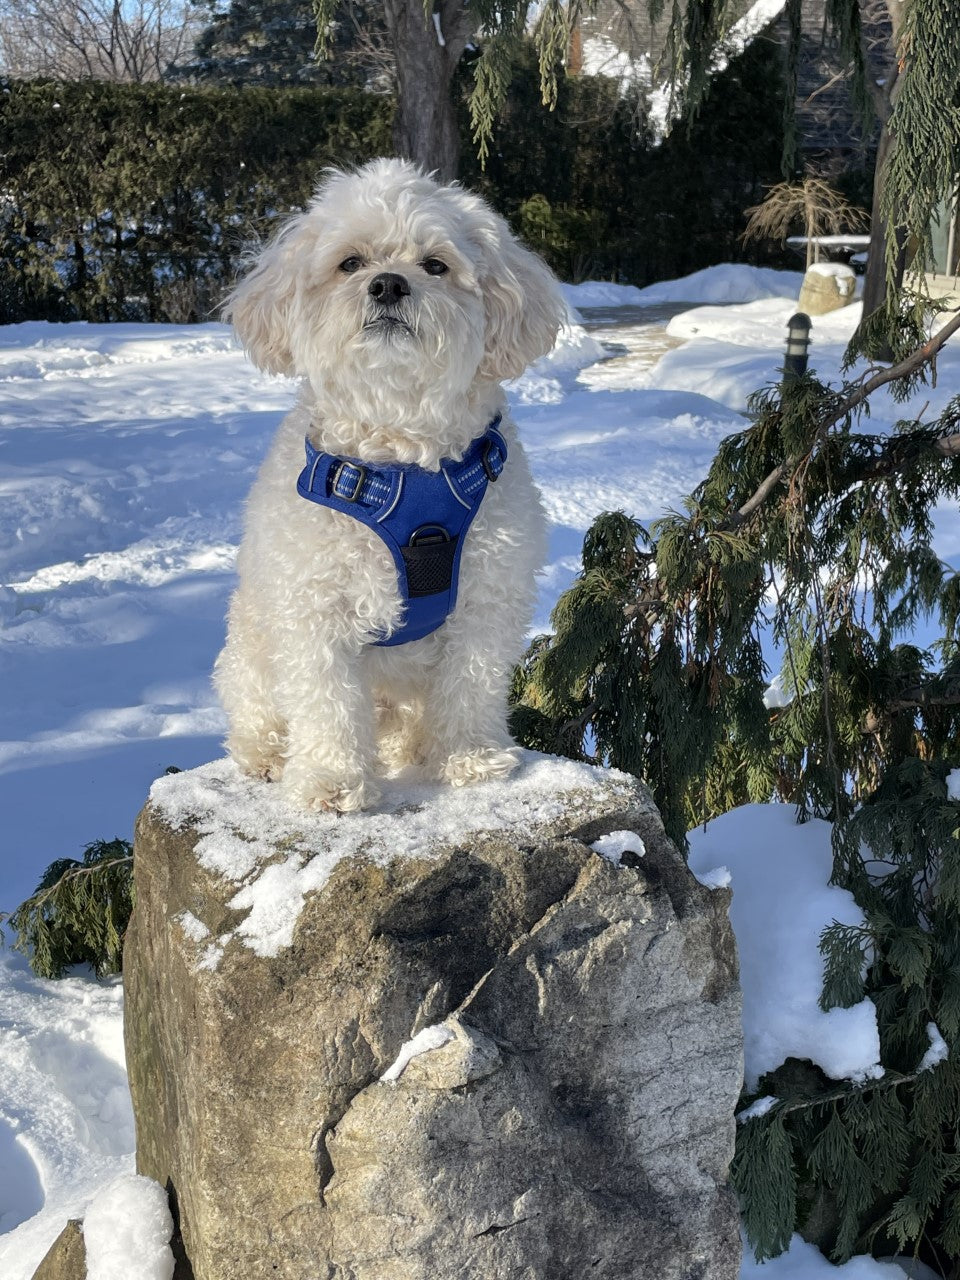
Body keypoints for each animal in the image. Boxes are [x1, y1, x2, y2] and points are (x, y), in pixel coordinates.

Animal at [213, 160, 568, 814]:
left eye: (435, 264)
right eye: (350, 263)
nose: (387, 285)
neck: (401, 458)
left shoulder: (486, 600)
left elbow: (471, 685)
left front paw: (469, 757)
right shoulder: (314, 609)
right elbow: (326, 702)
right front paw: (330, 781)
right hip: (250, 651)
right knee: (258, 716)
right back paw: (270, 756)